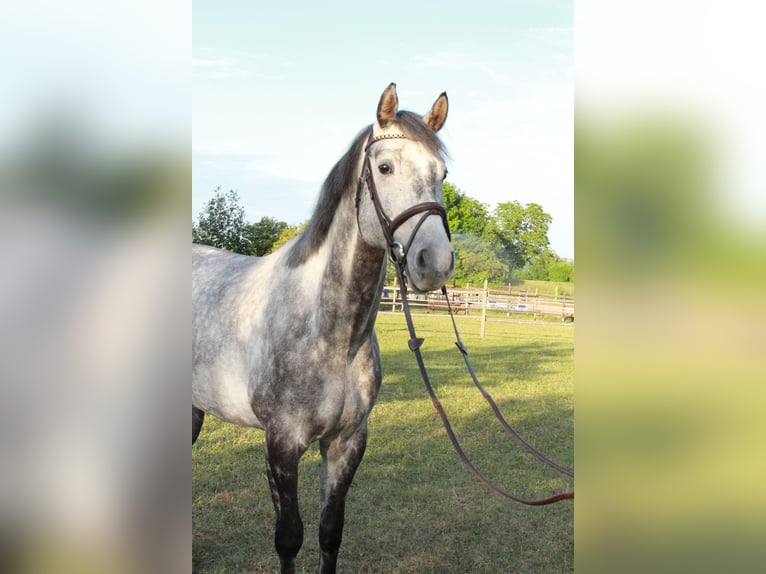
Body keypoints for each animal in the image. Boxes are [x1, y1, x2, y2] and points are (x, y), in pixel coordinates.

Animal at [192, 83, 454, 574]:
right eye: (385, 167)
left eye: (442, 173)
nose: (435, 262)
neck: (329, 334)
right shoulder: (282, 445)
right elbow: (289, 538)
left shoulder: (346, 443)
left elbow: (330, 532)